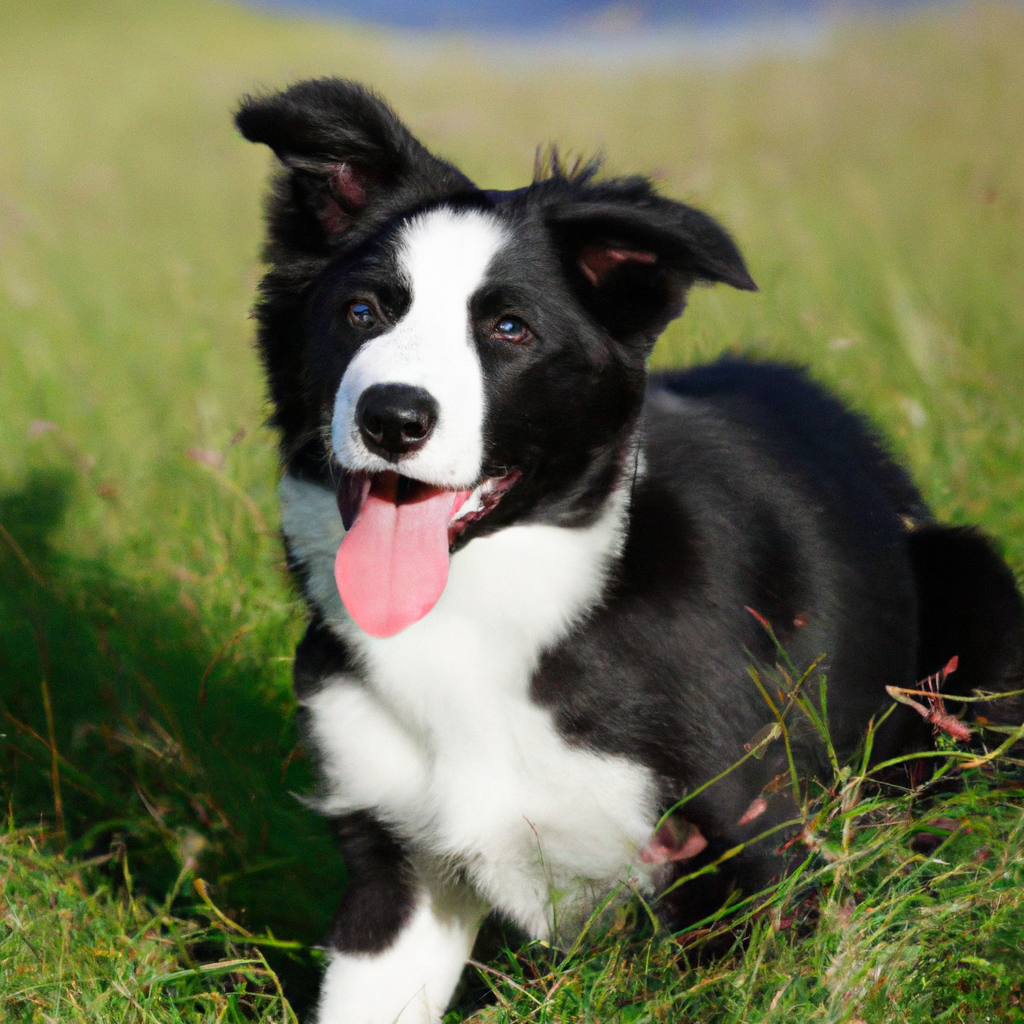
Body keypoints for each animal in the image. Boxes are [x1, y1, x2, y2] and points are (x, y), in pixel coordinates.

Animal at [234, 79, 1024, 1024]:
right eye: (360, 313)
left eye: (510, 329)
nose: (392, 417)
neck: (495, 612)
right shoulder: (396, 869)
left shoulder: (755, 854)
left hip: (976, 594)